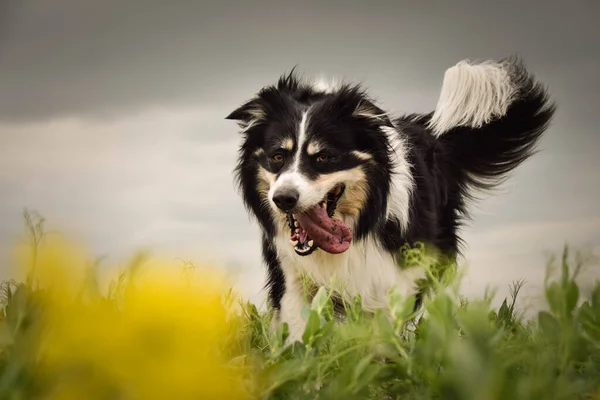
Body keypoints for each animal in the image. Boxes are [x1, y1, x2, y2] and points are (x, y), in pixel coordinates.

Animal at [227, 57, 556, 344]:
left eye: (323, 157)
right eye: (277, 156)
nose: (283, 199)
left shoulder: (389, 274)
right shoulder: (291, 274)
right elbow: (297, 331)